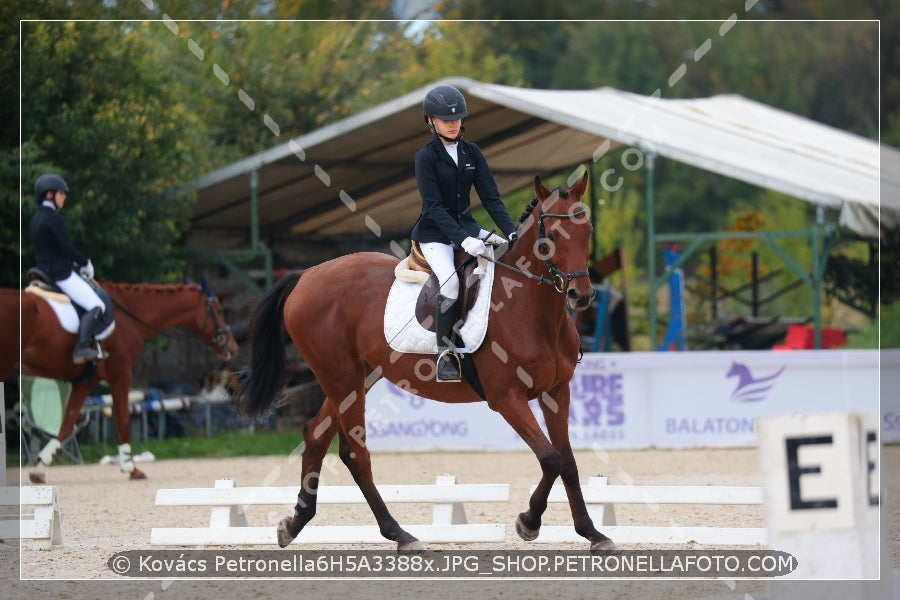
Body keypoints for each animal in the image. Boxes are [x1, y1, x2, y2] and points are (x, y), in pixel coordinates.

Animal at [0, 278, 239, 480]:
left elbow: (67, 423)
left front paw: (40, 467)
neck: (130, 316)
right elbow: (123, 419)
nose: (233, 347)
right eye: (219, 310)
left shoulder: (85, 381)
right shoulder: (121, 373)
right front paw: (131, 468)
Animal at [232, 171, 620, 552]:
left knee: (315, 435)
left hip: (356, 376)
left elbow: (567, 461)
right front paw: (529, 522)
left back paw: (294, 523)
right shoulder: (506, 398)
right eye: (550, 237)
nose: (581, 295)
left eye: (587, 231)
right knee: (355, 454)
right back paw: (400, 535)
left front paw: (592, 533)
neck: (532, 310)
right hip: (340, 375)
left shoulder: (557, 391)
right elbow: (550, 458)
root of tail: (305, 275)